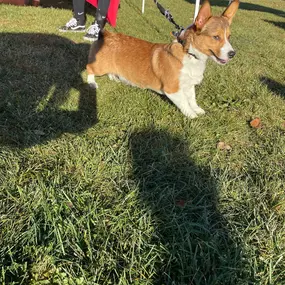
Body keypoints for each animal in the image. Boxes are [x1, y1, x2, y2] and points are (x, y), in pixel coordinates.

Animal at [85, 0, 239, 117]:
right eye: (216, 37)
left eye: (229, 36)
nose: (233, 54)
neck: (190, 54)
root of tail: (107, 34)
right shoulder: (173, 89)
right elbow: (185, 103)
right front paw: (193, 116)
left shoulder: (189, 85)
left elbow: (192, 99)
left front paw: (197, 110)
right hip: (99, 66)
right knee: (89, 69)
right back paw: (92, 83)